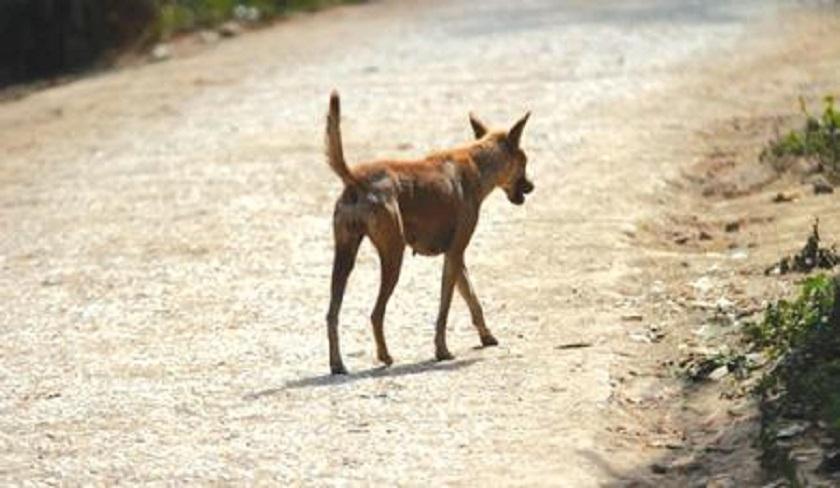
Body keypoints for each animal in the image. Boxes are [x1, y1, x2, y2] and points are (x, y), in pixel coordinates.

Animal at [322, 90, 532, 374]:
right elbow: (444, 309)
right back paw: (385, 356)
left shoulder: (456, 257)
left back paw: (337, 364)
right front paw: (442, 350)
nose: (531, 186)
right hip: (393, 256)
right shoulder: (454, 254)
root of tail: (356, 178)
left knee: (331, 314)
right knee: (376, 313)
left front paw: (486, 336)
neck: (477, 164)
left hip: (344, 256)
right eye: (525, 162)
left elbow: (472, 298)